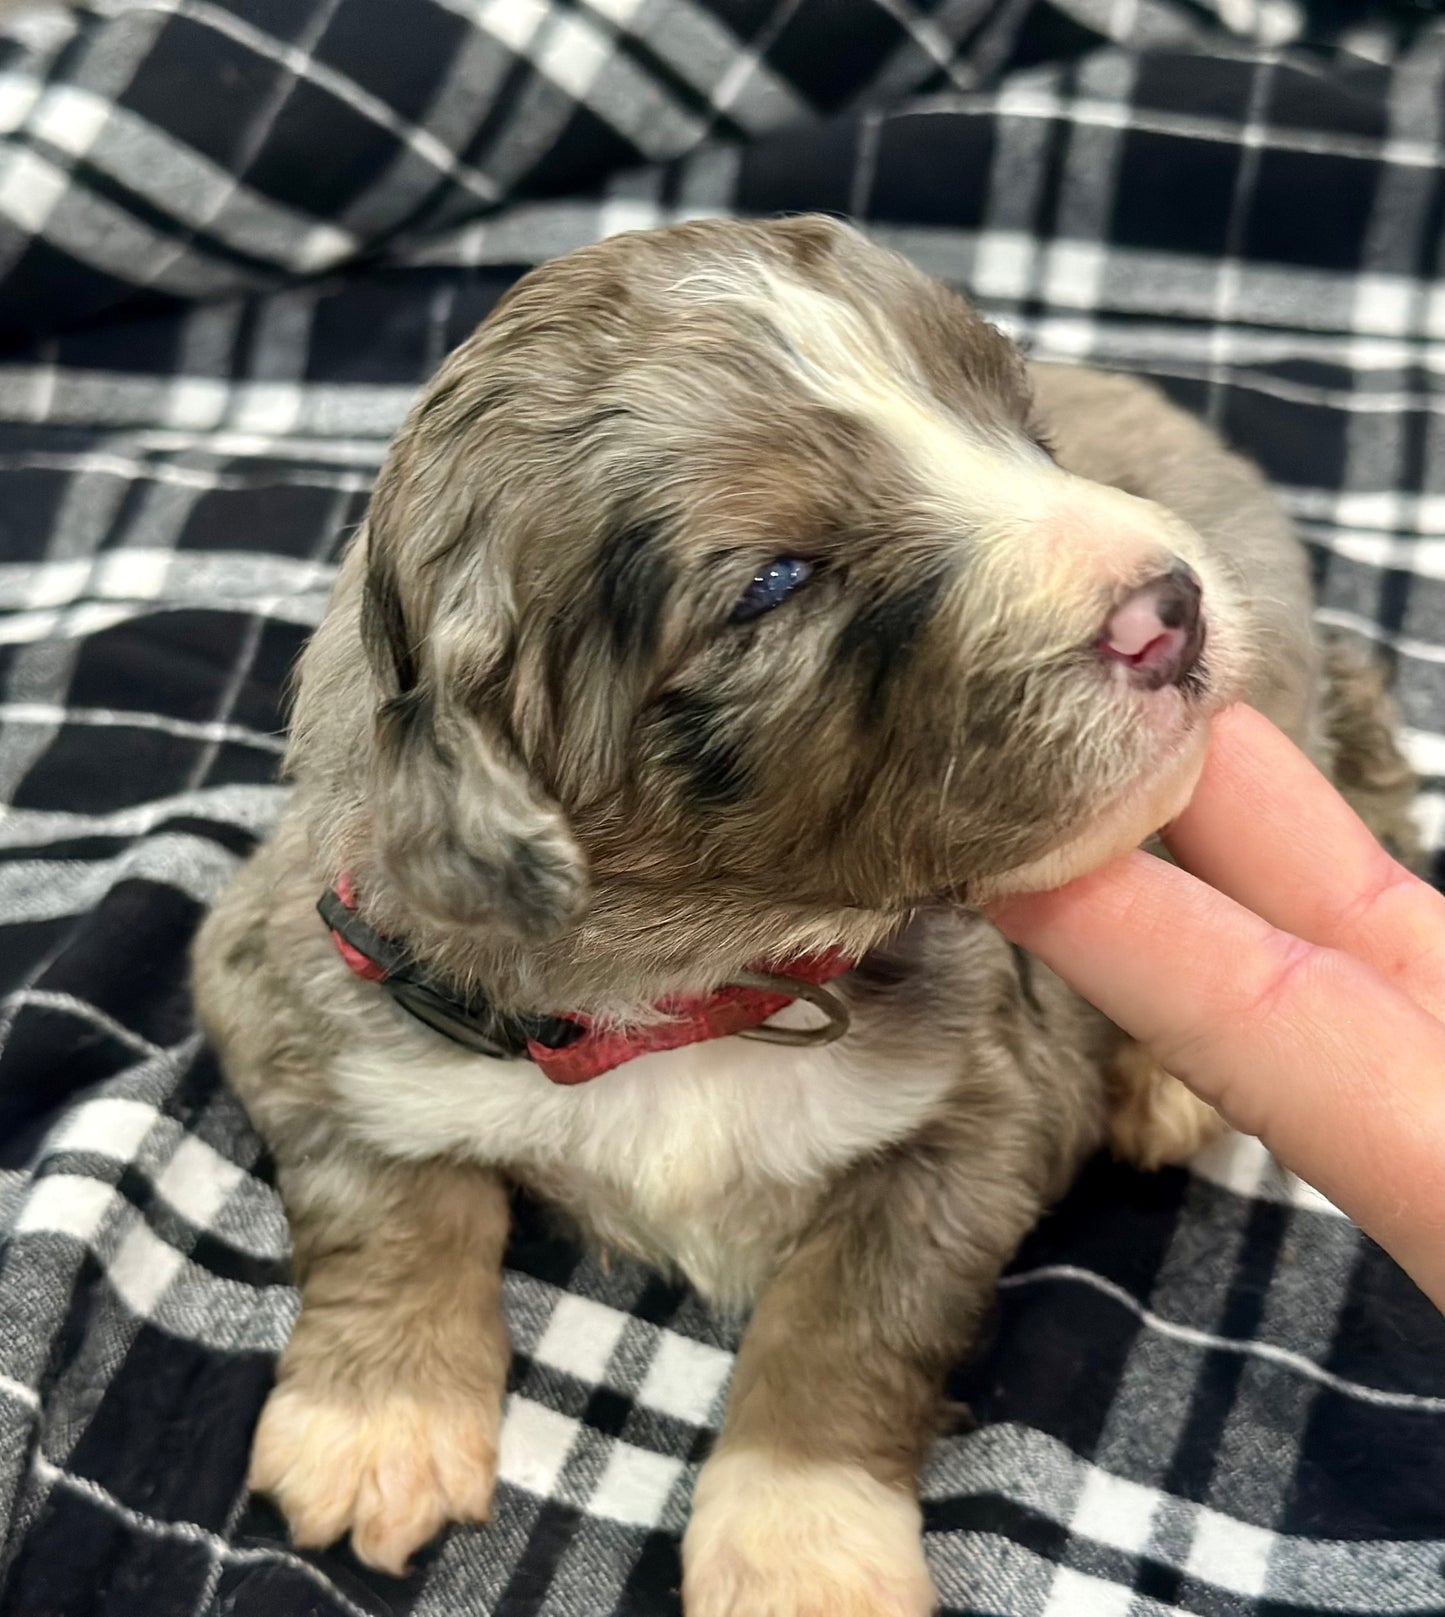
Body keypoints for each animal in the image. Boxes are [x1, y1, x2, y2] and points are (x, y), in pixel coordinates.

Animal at [189, 218, 1415, 1617]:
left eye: (1018, 427)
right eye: (775, 581)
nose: (1168, 606)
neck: (702, 991)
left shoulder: (978, 1111)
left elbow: (848, 1324)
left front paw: (799, 1549)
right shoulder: (297, 973)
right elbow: (382, 1196)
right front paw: (376, 1420)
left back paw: (1164, 1079)